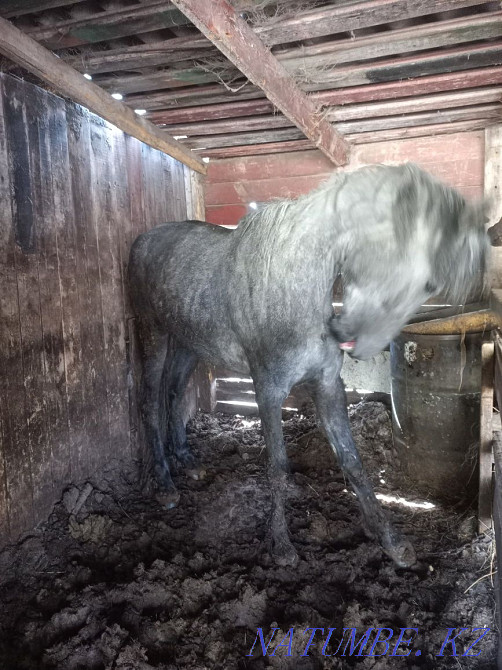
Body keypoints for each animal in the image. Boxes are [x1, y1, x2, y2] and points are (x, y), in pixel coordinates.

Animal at [128, 163, 488, 568]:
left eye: (430, 286)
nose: (349, 336)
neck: (292, 288)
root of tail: (144, 239)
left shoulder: (328, 385)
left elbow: (353, 462)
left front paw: (392, 543)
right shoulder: (268, 392)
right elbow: (278, 464)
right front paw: (282, 546)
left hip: (189, 343)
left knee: (174, 393)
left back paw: (188, 462)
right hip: (154, 334)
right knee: (150, 401)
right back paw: (165, 485)